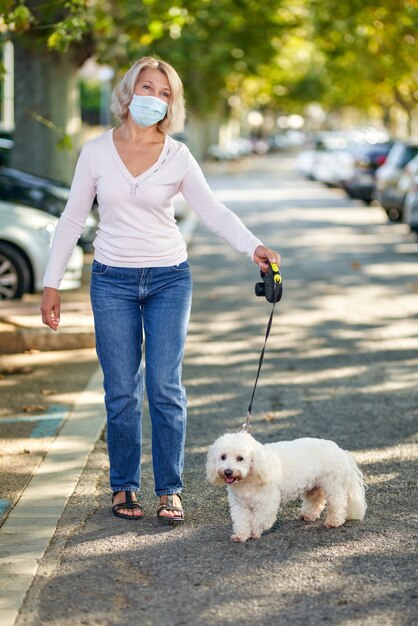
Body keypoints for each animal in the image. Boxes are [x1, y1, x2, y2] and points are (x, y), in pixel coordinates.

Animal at [206, 428, 366, 540]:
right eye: (223, 457)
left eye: (240, 458)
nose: (228, 472)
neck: (248, 478)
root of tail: (340, 450)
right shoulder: (239, 505)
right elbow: (241, 521)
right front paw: (241, 535)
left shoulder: (267, 503)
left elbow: (259, 520)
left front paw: (255, 532)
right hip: (314, 485)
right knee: (316, 499)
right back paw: (308, 515)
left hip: (333, 485)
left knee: (338, 503)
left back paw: (334, 522)